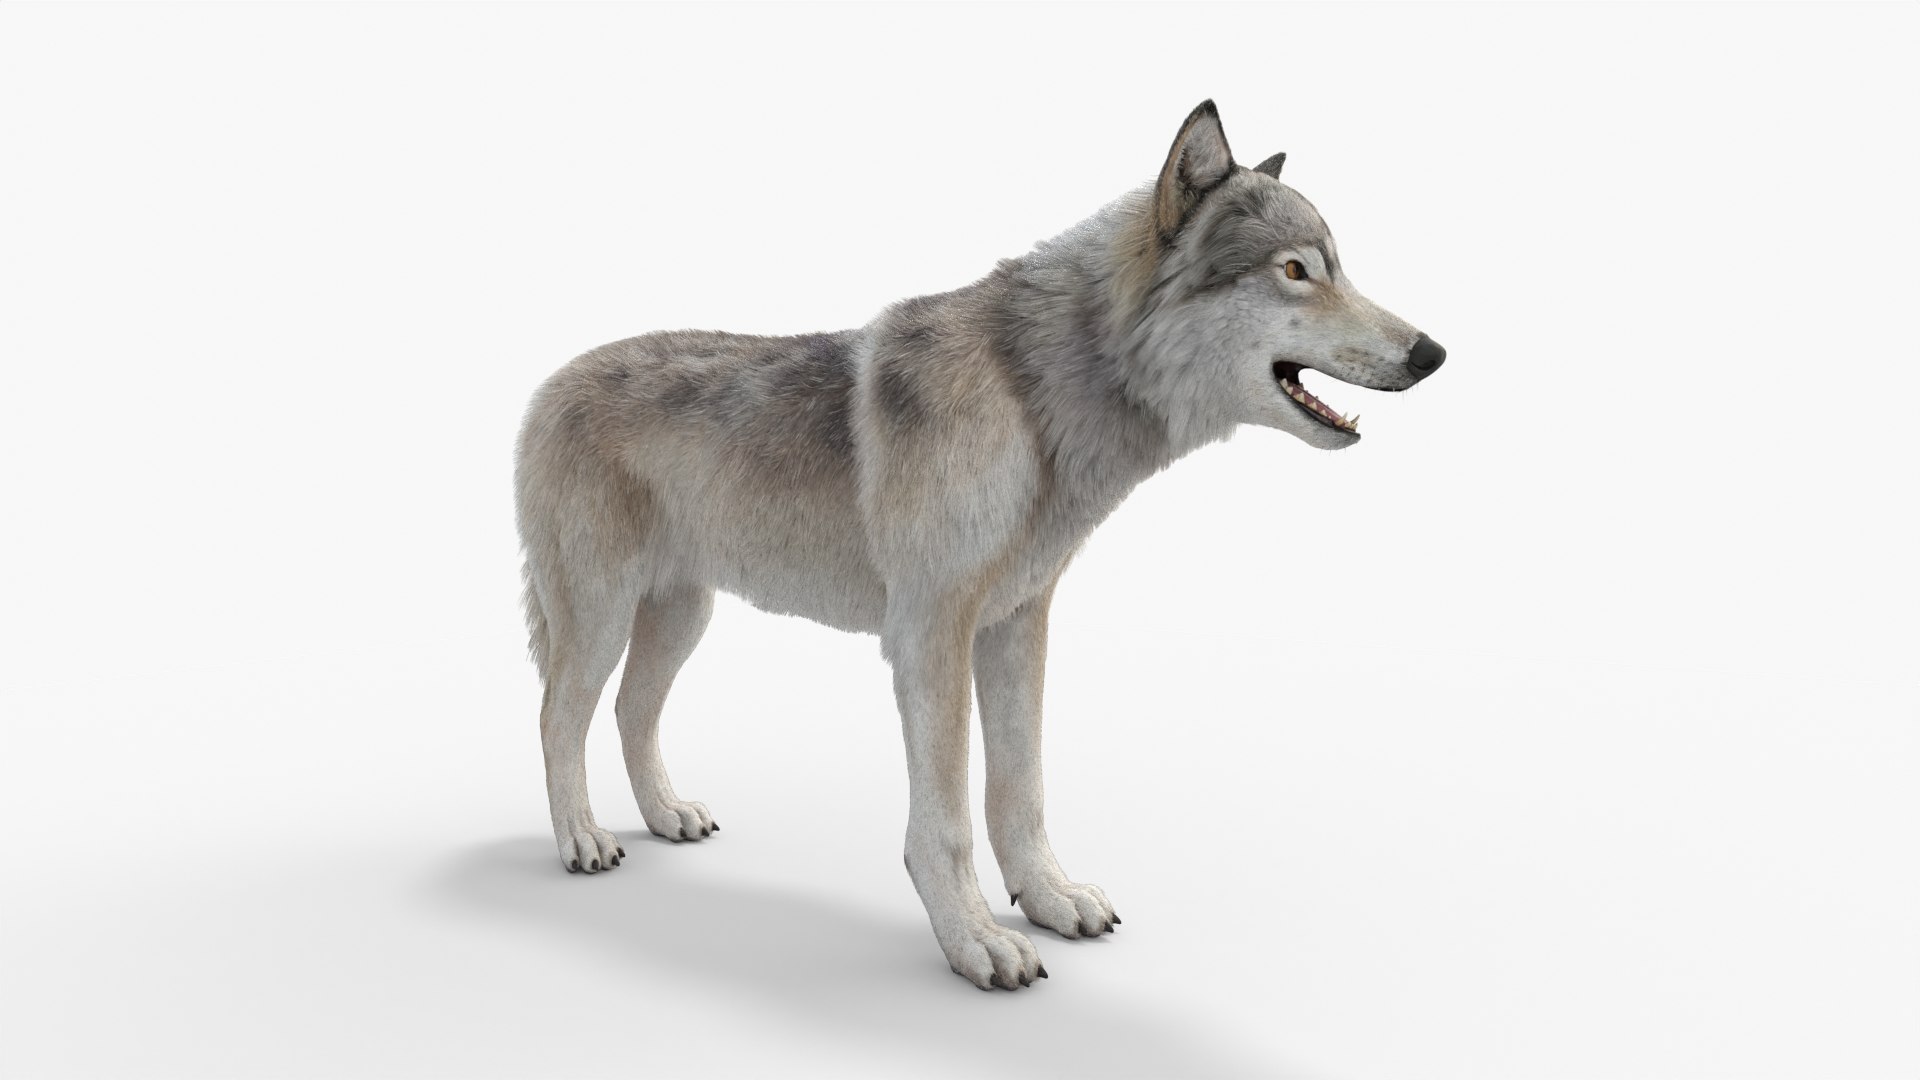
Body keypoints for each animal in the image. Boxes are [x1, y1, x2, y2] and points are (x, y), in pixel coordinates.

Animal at [515, 101, 1444, 990]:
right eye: (1296, 271)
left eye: (1337, 265)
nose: (1431, 352)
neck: (1035, 405)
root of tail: (547, 385)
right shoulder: (929, 638)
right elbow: (951, 821)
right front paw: (976, 945)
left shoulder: (1016, 625)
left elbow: (1020, 790)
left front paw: (1049, 899)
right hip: (602, 618)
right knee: (558, 717)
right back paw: (582, 841)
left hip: (683, 616)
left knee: (632, 711)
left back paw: (667, 817)